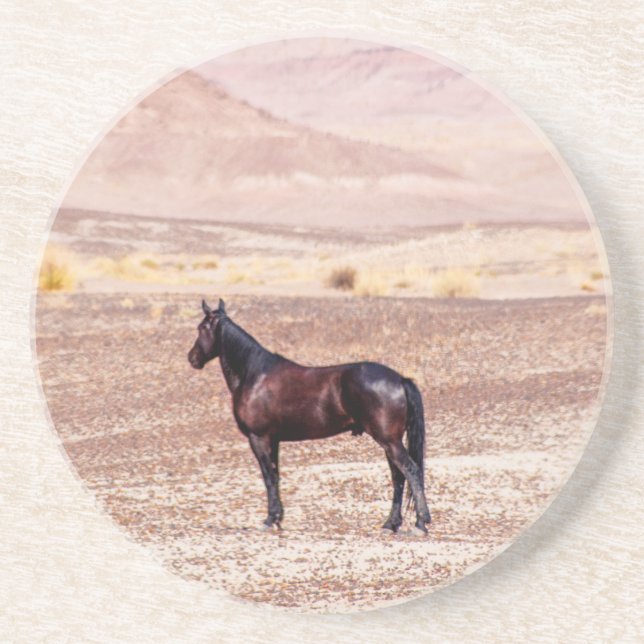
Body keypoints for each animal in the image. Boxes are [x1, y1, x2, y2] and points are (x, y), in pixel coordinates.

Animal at [187, 298, 431, 535]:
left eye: (201, 328)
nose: (192, 358)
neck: (254, 375)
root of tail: (400, 379)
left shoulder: (259, 438)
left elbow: (268, 477)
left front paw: (269, 520)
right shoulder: (273, 440)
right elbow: (276, 475)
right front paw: (278, 519)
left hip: (389, 441)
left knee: (410, 471)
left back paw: (420, 524)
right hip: (390, 443)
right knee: (398, 477)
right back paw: (390, 524)